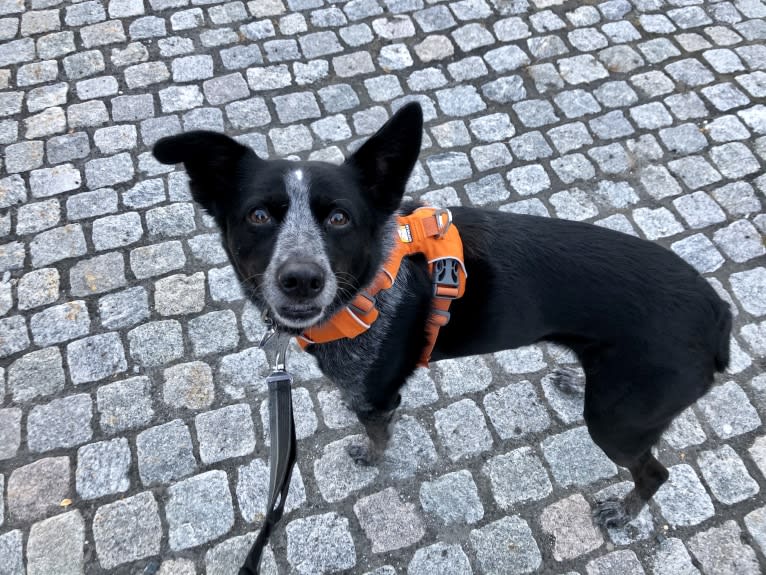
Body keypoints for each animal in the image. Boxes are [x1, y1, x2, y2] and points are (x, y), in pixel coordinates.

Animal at [153, 102, 736, 532]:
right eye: (258, 215)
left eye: (340, 218)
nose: (301, 279)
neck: (370, 281)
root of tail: (719, 315)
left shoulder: (375, 395)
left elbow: (378, 434)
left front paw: (372, 455)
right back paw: (575, 377)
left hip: (616, 422)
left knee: (655, 472)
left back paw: (624, 510)